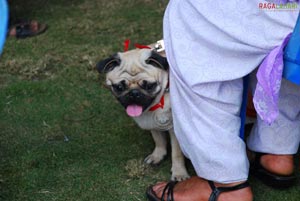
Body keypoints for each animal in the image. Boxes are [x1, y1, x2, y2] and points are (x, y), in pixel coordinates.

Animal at [96, 43, 190, 181]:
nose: (134, 93)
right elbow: (159, 140)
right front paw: (158, 156)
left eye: (149, 86)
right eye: (119, 87)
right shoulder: (151, 123)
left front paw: (179, 173)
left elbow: (176, 153)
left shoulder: (175, 129)